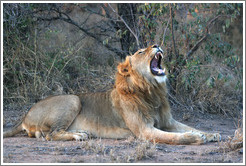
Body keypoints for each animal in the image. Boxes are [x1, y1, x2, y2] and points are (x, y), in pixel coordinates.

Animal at [2, 44, 221, 145]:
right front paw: (196, 137)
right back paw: (79, 135)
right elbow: (175, 137)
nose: (157, 45)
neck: (152, 91)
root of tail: (25, 115)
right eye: (141, 51)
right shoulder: (144, 131)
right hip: (72, 99)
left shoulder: (168, 121)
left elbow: (188, 126)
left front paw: (212, 133)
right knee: (51, 134)